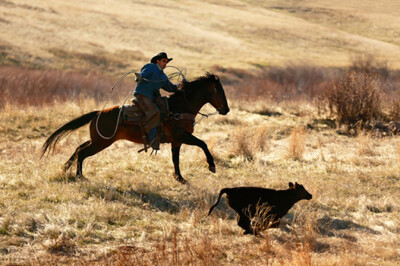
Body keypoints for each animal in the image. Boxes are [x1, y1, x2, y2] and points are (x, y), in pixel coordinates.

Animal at [41, 72, 230, 185]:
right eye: (219, 91)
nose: (226, 110)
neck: (180, 108)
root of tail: (99, 113)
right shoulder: (181, 136)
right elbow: (203, 144)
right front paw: (211, 166)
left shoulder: (176, 141)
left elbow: (176, 159)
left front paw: (179, 178)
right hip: (101, 143)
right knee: (82, 152)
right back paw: (80, 176)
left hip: (97, 140)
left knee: (78, 148)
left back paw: (66, 168)